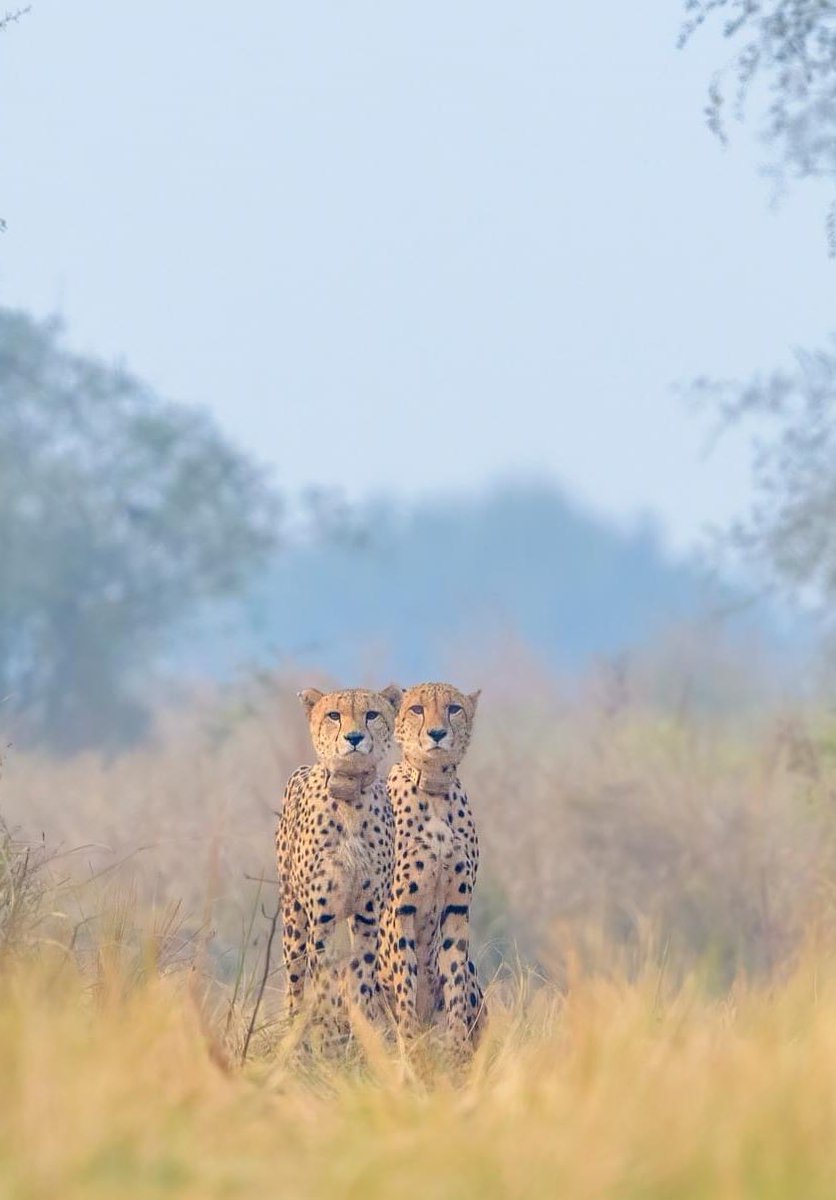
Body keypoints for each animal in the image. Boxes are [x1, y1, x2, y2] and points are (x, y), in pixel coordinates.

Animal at [273, 691, 400, 1036]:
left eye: (371, 715)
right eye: (333, 715)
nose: (353, 738)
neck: (350, 800)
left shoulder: (367, 914)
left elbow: (361, 976)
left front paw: (362, 1026)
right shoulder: (322, 915)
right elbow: (323, 977)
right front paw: (327, 1030)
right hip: (293, 916)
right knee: (295, 977)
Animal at [376, 681, 482, 1046]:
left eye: (454, 708)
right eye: (417, 709)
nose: (437, 733)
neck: (434, 793)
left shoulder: (457, 906)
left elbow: (455, 977)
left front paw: (458, 1043)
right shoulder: (400, 907)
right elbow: (405, 980)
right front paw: (409, 1044)